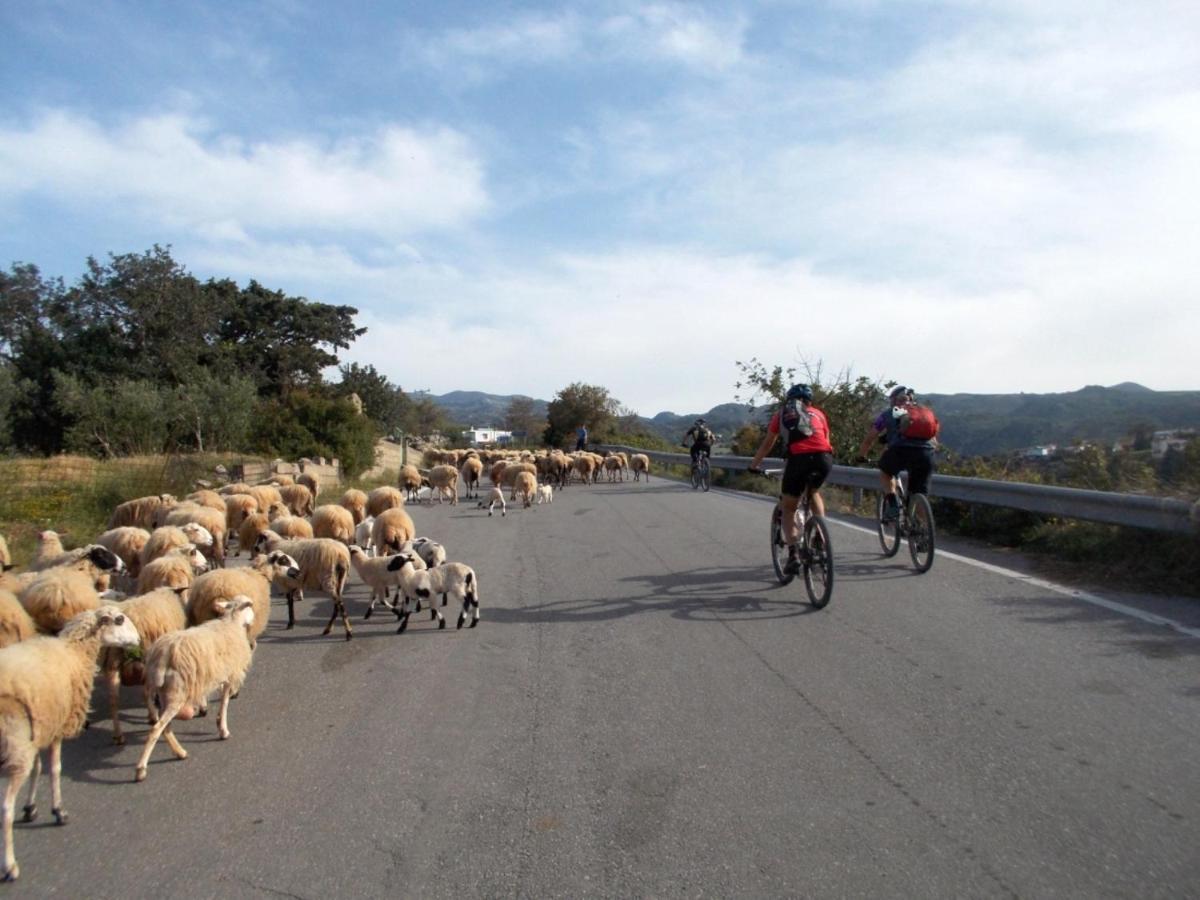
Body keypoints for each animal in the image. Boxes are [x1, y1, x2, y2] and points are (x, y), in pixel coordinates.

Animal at [0, 607, 139, 883]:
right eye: (119, 620)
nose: (138, 639)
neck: (73, 652)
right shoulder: (55, 729)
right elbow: (55, 769)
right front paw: (58, 811)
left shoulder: (41, 729)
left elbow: (38, 768)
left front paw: (31, 808)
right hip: (15, 749)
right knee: (5, 809)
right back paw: (10, 866)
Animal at [99, 585, 188, 748]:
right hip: (147, 659)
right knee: (146, 692)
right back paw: (153, 716)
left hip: (113, 662)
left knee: (113, 700)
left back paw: (118, 735)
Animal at [134, 592, 258, 782]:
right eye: (249, 606)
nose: (254, 618)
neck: (231, 622)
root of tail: (162, 656)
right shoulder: (230, 675)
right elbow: (224, 703)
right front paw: (223, 729)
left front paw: (205, 709)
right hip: (176, 692)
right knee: (156, 729)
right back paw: (141, 770)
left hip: (162, 692)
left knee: (165, 727)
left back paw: (180, 752)